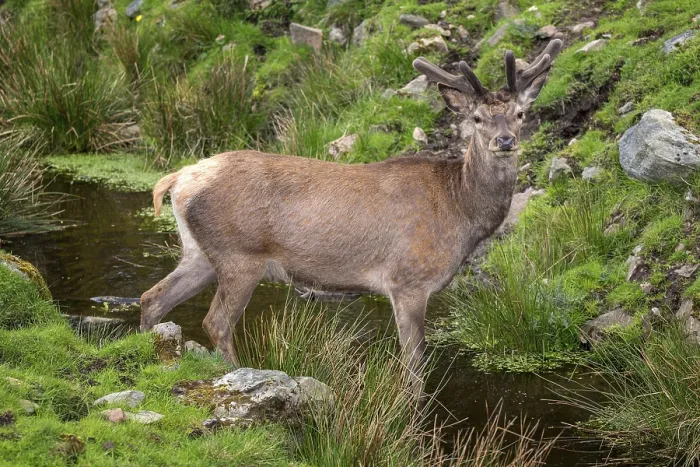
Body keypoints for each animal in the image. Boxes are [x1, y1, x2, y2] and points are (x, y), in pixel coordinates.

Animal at [140, 39, 563, 391]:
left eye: (520, 113)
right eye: (476, 119)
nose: (505, 141)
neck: (459, 210)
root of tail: (178, 179)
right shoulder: (407, 280)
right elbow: (414, 367)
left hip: (200, 252)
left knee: (151, 298)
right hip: (239, 254)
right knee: (215, 321)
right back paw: (236, 372)